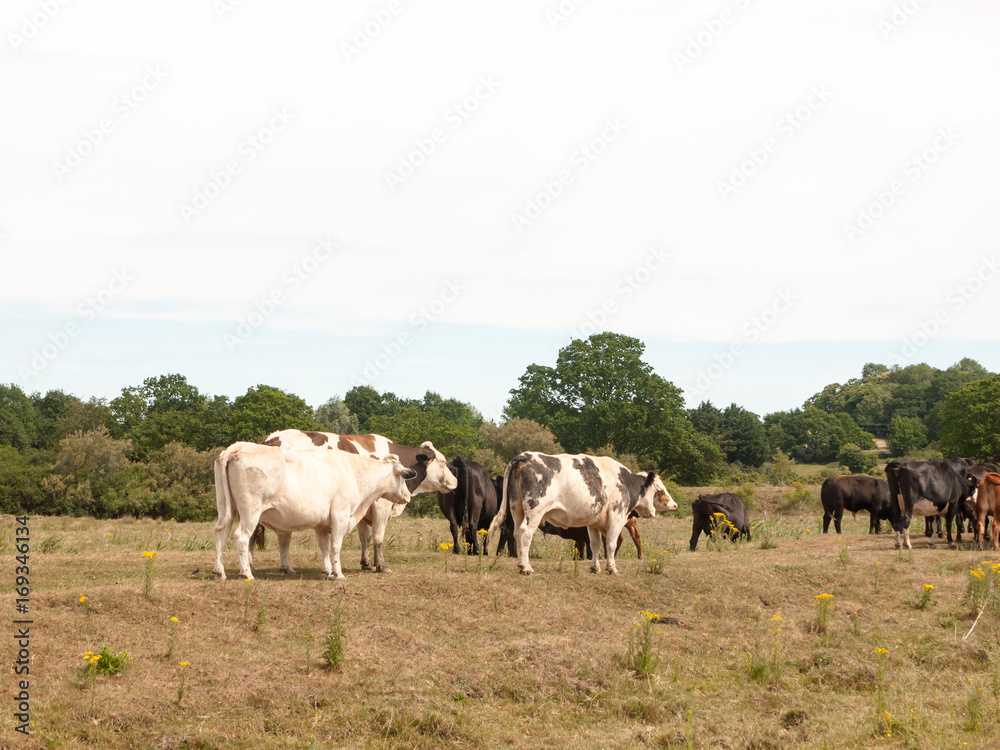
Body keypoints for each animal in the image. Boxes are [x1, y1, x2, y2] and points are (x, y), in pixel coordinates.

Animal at [211, 446, 414, 580]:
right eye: (403, 478)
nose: (408, 496)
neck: (354, 473)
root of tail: (239, 449)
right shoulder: (340, 515)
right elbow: (335, 546)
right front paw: (338, 574)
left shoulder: (321, 524)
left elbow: (324, 547)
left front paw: (327, 571)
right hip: (250, 513)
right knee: (241, 537)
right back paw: (246, 573)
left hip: (226, 510)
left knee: (221, 535)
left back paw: (219, 572)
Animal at [260, 432, 458, 572]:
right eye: (443, 461)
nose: (455, 481)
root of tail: (271, 439)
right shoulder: (381, 506)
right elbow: (378, 537)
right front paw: (381, 565)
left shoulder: (363, 507)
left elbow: (365, 538)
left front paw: (367, 563)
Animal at [486, 450, 680, 580]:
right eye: (660, 490)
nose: (675, 505)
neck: (625, 482)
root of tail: (525, 456)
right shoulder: (616, 518)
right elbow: (610, 544)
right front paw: (612, 568)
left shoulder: (593, 523)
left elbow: (595, 545)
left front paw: (595, 568)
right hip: (534, 511)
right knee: (526, 533)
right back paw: (526, 567)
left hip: (516, 508)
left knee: (517, 533)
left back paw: (521, 563)